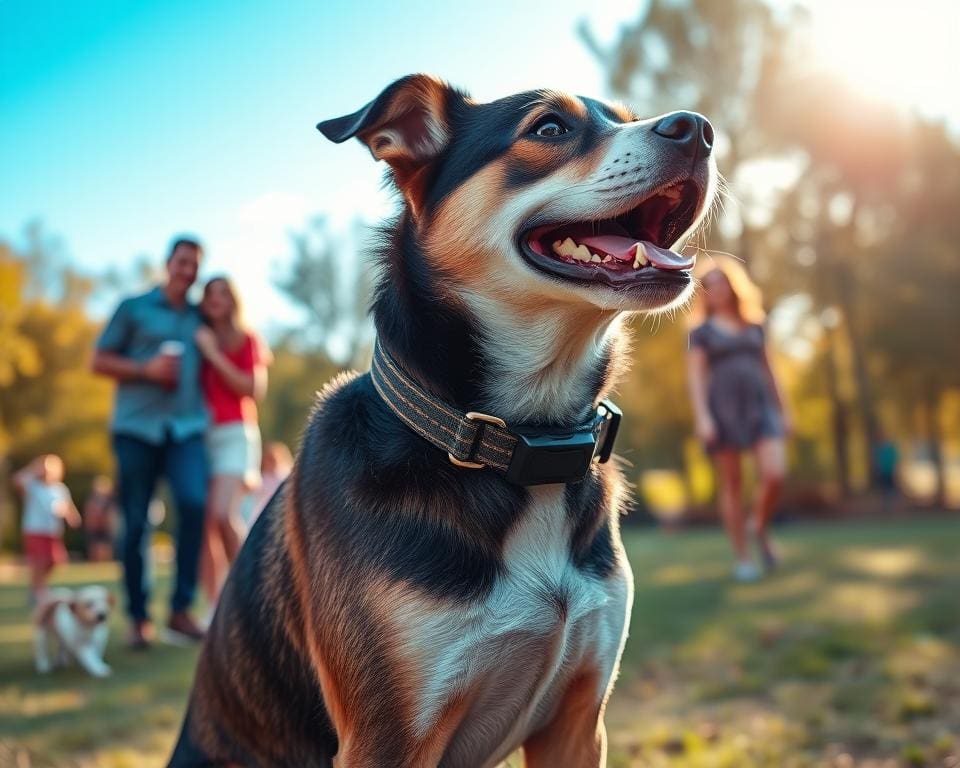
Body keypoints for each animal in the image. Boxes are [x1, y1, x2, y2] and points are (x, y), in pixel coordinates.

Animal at [171, 73, 712, 768]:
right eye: (550, 128)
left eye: (628, 116)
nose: (699, 128)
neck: (522, 444)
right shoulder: (387, 738)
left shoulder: (576, 721)